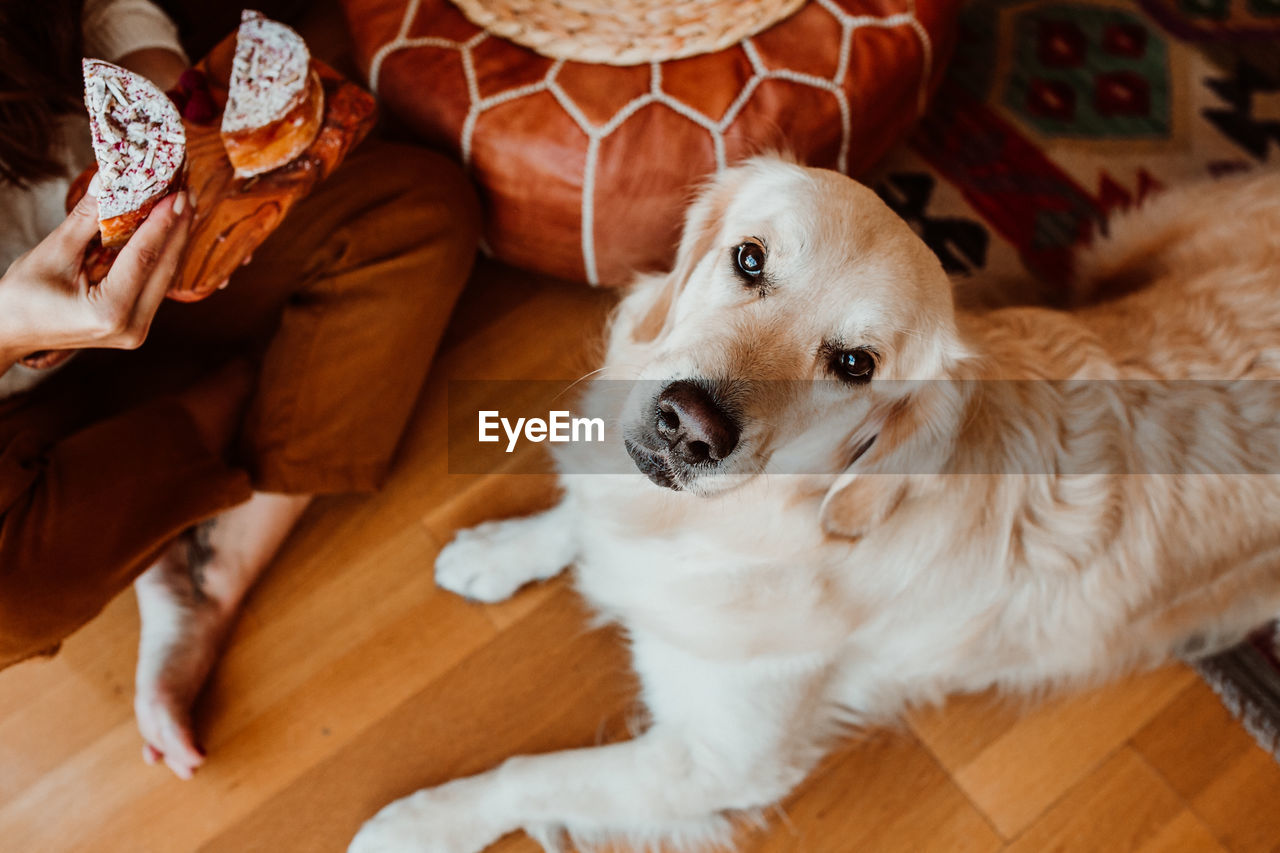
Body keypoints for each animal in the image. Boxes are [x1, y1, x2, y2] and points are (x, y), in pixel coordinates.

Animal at [353, 156, 1280, 845]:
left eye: (855, 364)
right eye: (750, 259)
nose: (690, 426)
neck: (745, 524)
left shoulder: (716, 760)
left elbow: (528, 774)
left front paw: (418, 823)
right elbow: (580, 520)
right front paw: (499, 549)